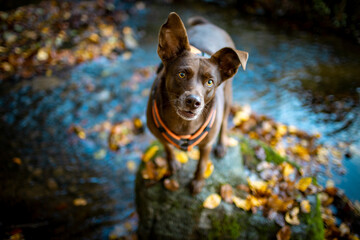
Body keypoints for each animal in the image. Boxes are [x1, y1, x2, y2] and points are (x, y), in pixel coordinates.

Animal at [146, 12, 248, 194]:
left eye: (210, 82)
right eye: (181, 74)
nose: (193, 101)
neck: (183, 124)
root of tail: (209, 24)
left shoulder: (206, 144)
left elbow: (202, 164)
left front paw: (197, 182)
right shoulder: (158, 135)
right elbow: (167, 148)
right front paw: (172, 165)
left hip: (228, 96)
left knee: (224, 122)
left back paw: (222, 145)